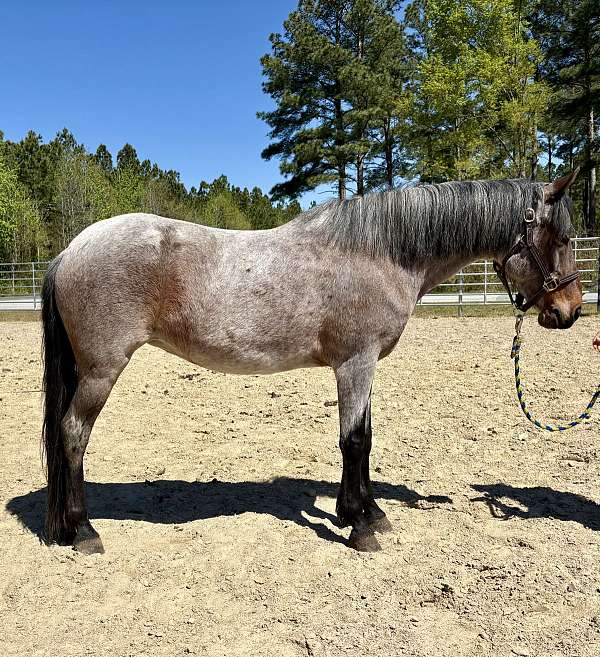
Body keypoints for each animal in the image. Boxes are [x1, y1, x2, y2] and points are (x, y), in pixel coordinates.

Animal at [40, 171, 582, 555]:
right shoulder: (355, 363)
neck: (378, 252)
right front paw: (361, 526)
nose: (570, 311)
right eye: (561, 239)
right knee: (72, 434)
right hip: (101, 371)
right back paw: (83, 531)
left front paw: (364, 511)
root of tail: (70, 250)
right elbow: (354, 441)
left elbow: (364, 438)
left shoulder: (364, 365)